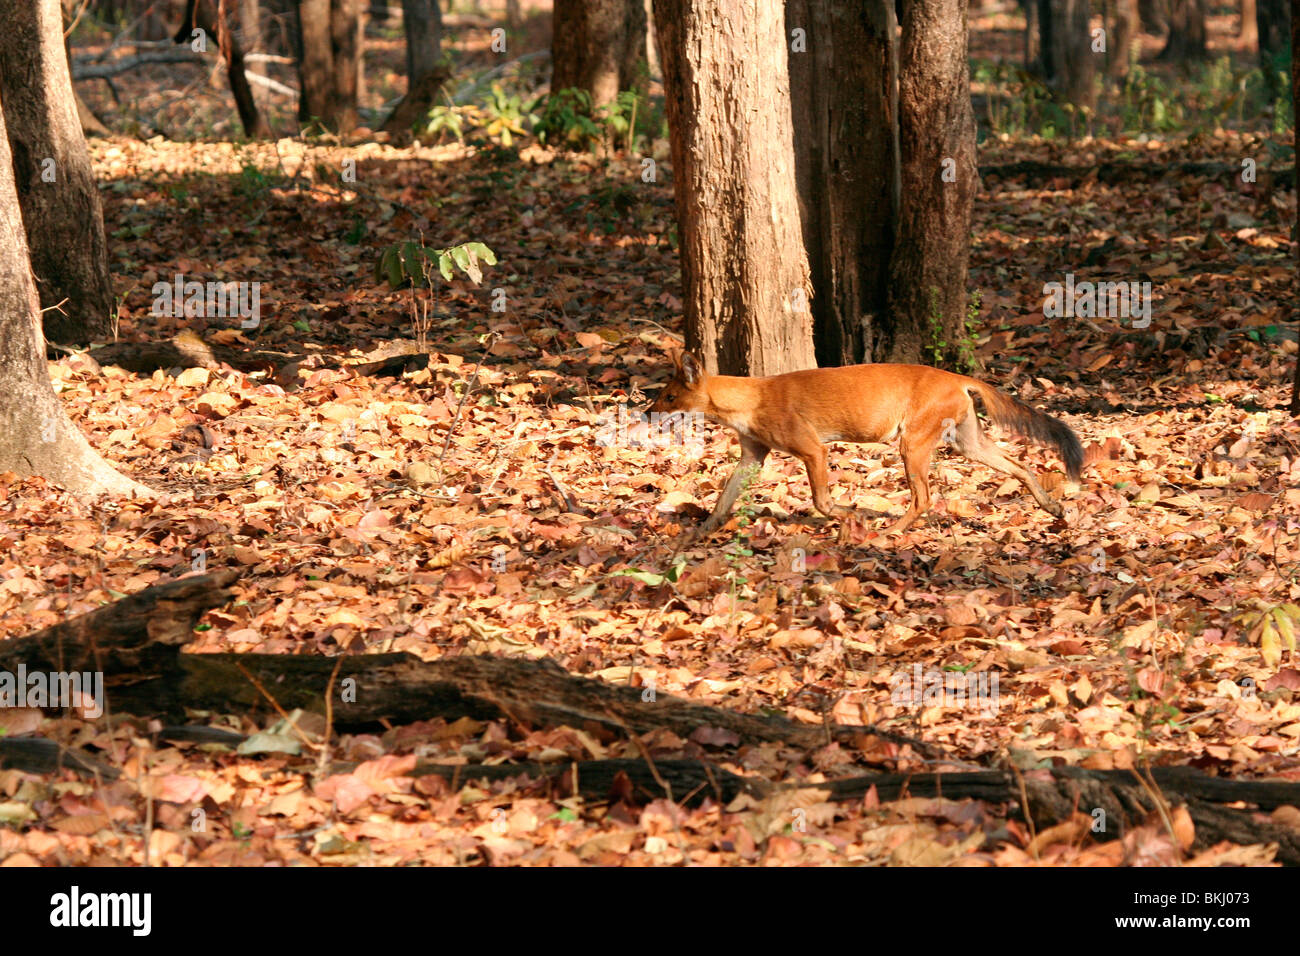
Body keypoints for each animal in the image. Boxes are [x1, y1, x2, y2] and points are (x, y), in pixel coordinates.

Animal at [644, 351, 1081, 535]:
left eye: (668, 396)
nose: (647, 411)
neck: (748, 399)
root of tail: (955, 375)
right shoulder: (752, 456)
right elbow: (723, 499)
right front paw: (699, 533)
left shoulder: (813, 449)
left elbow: (821, 501)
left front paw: (856, 514)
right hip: (966, 443)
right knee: (1020, 465)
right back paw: (1053, 507)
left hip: (912, 443)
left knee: (924, 497)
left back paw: (890, 531)